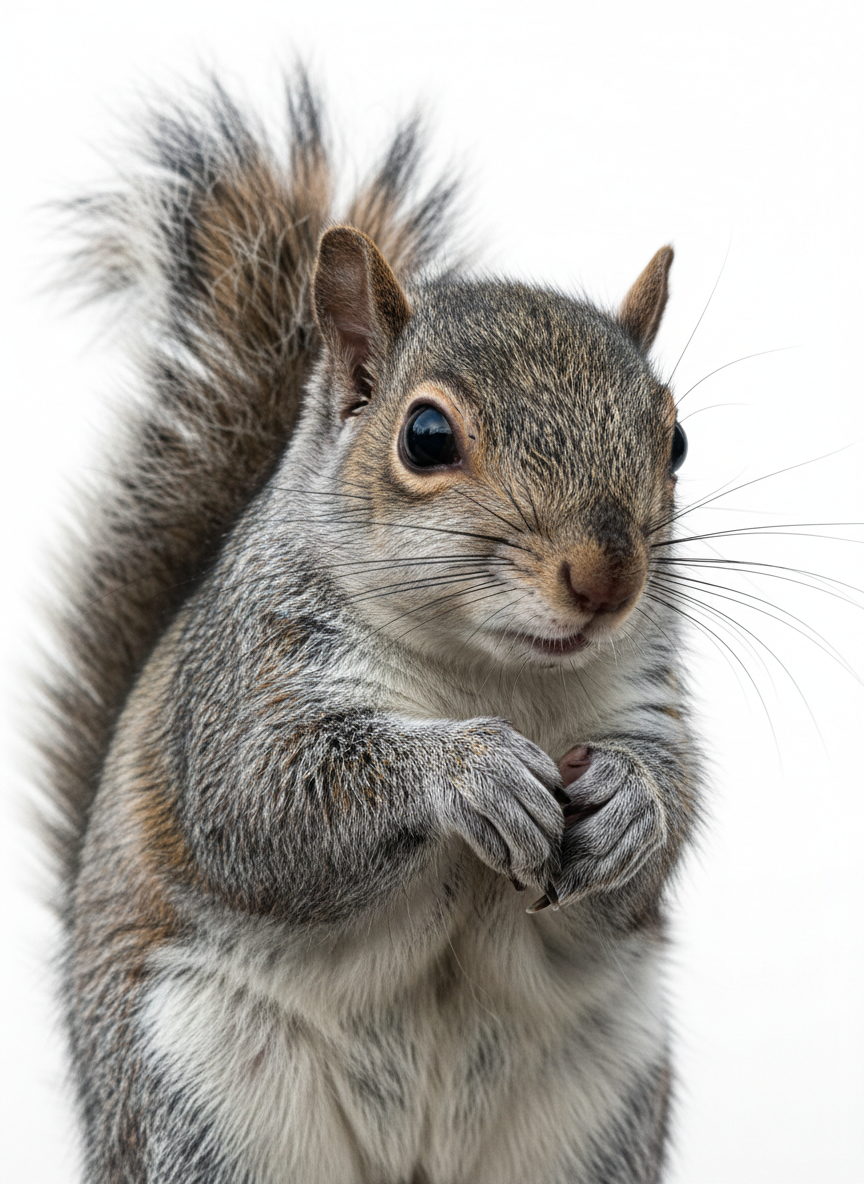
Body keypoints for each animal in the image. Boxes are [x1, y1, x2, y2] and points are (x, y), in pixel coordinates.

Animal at [40, 75, 701, 1184]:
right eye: (426, 437)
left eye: (677, 439)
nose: (606, 576)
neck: (494, 668)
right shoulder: (248, 680)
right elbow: (267, 802)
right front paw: (469, 769)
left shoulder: (647, 688)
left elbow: (671, 810)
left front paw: (631, 804)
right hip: (198, 1100)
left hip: (593, 1120)